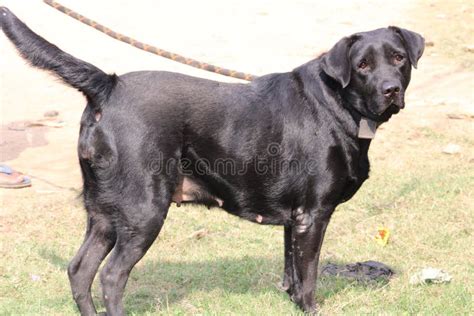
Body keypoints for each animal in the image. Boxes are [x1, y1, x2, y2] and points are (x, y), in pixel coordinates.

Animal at [0, 6, 422, 314]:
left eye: (399, 58)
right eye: (362, 65)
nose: (390, 89)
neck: (338, 104)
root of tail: (109, 84)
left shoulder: (295, 218)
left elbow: (291, 273)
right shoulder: (313, 215)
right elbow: (308, 279)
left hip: (104, 213)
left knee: (79, 270)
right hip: (143, 211)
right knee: (111, 277)